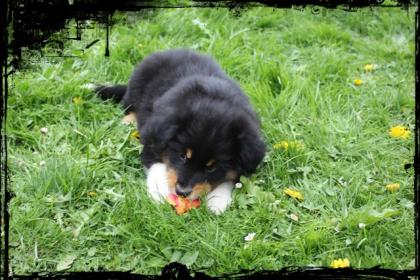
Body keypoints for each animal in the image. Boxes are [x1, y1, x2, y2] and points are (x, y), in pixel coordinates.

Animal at [95, 48, 266, 214]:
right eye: (182, 156)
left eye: (212, 167)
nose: (182, 192)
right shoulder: (151, 140)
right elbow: (158, 166)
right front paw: (159, 194)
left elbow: (230, 178)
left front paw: (217, 201)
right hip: (135, 90)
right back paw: (127, 121)